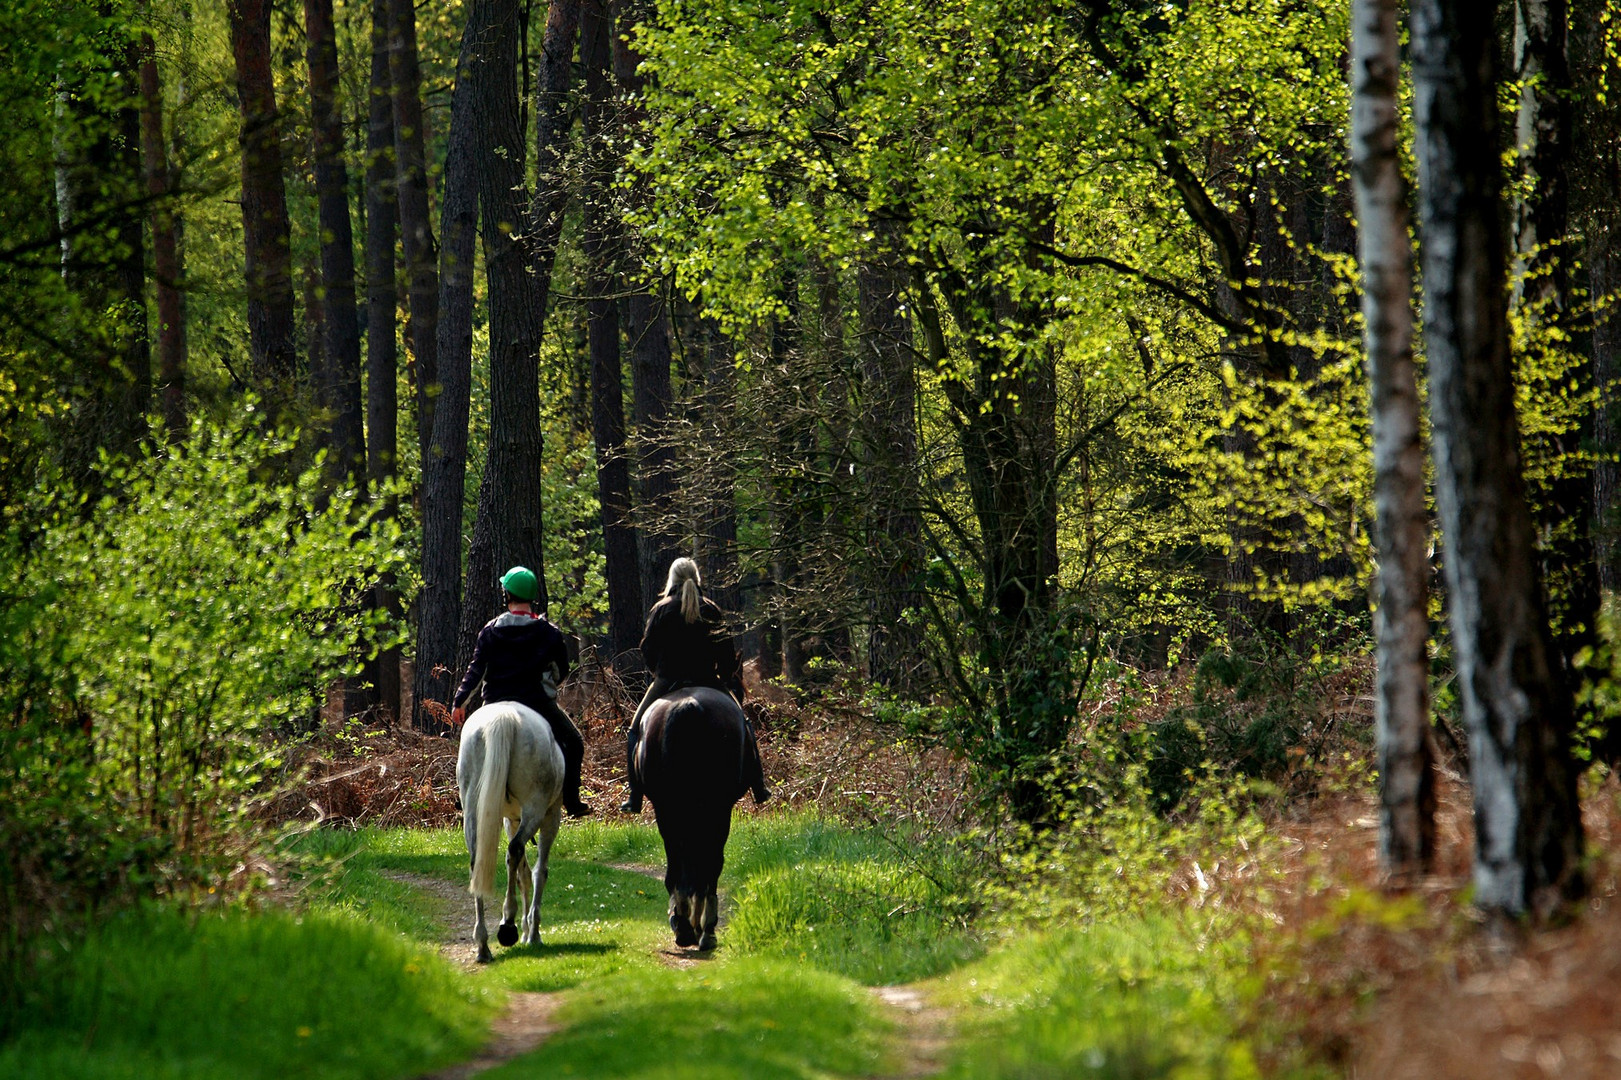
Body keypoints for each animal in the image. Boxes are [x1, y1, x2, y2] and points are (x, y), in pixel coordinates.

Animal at [453, 697, 567, 960]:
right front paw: (532, 933)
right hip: (536, 809)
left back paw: (483, 944)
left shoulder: (512, 820)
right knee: (515, 852)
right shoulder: (550, 816)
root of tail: (503, 717)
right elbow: (538, 872)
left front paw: (526, 930)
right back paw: (508, 925)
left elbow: (522, 874)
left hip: (473, 808)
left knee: (478, 861)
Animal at [638, 684, 752, 947]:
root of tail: (687, 706)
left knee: (682, 865)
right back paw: (702, 927)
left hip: (671, 811)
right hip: (712, 811)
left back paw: (685, 925)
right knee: (706, 865)